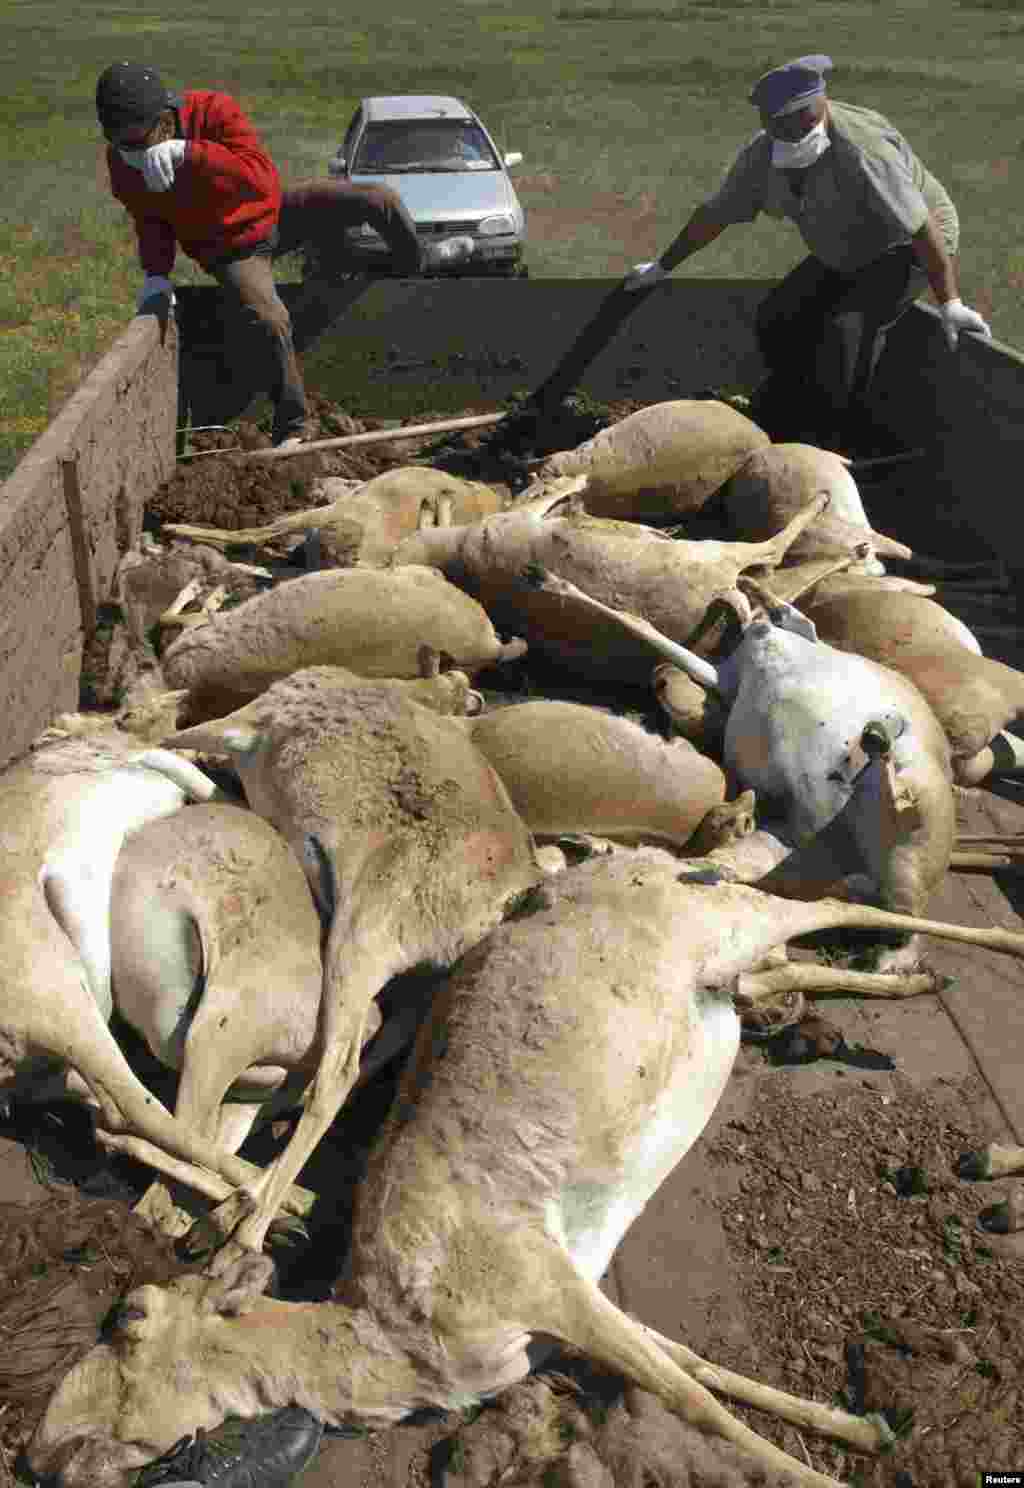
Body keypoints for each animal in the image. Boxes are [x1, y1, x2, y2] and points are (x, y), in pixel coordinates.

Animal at [27, 851, 1024, 1488]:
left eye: (130, 1317)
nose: (37, 1456)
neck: (396, 1342)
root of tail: (617, 861)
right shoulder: (561, 1319)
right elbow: (695, 1365)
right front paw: (863, 1426)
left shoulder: (549, 1284)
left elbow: (695, 1403)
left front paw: (836, 1468)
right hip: (728, 964)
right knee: (792, 961)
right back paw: (913, 984)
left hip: (727, 918)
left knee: (838, 909)